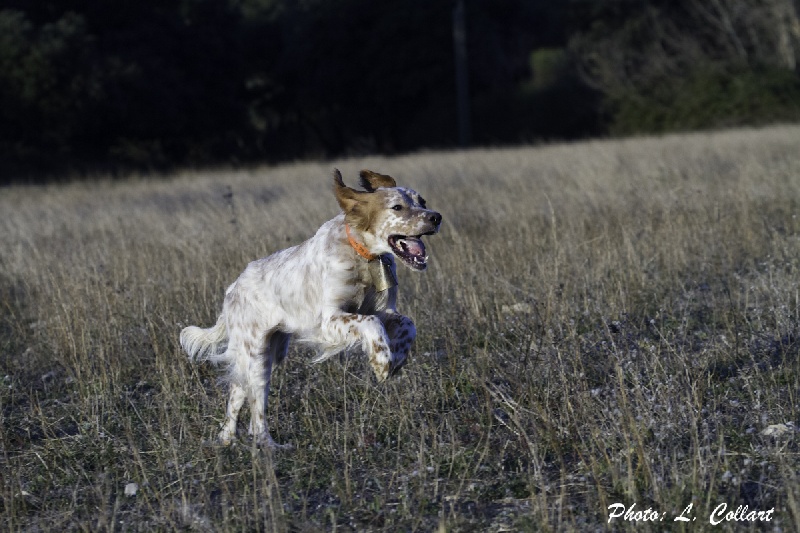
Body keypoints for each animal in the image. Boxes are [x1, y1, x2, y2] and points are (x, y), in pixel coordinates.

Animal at [180, 168, 440, 446]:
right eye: (397, 207)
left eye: (422, 201)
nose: (436, 217)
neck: (362, 256)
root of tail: (232, 290)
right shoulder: (330, 320)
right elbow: (372, 323)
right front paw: (381, 362)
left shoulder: (385, 311)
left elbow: (407, 324)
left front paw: (397, 356)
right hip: (257, 356)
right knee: (255, 411)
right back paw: (269, 446)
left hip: (264, 354)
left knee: (237, 394)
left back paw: (227, 439)